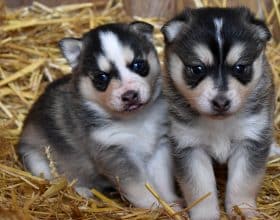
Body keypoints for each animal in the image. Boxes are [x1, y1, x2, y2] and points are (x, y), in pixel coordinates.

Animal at [17, 21, 178, 208]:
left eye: (139, 65)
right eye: (101, 78)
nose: (130, 95)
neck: (135, 119)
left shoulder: (160, 146)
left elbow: (162, 180)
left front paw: (171, 203)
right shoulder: (114, 154)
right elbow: (139, 187)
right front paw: (155, 206)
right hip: (36, 160)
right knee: (58, 180)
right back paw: (82, 190)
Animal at [162, 7, 274, 220]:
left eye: (240, 67)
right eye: (197, 68)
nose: (221, 102)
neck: (219, 123)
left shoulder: (250, 139)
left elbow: (243, 182)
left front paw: (243, 209)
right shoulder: (189, 145)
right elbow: (200, 189)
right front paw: (205, 215)